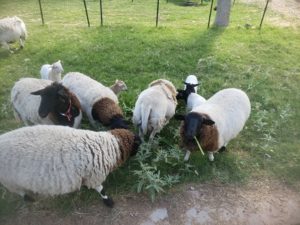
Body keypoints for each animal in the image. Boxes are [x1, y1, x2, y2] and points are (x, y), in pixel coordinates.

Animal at [0, 125, 142, 207]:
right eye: (137, 144)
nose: (138, 155)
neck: (106, 146)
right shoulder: (94, 175)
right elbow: (101, 190)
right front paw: (108, 201)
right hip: (10, 180)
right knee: (20, 192)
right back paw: (29, 199)